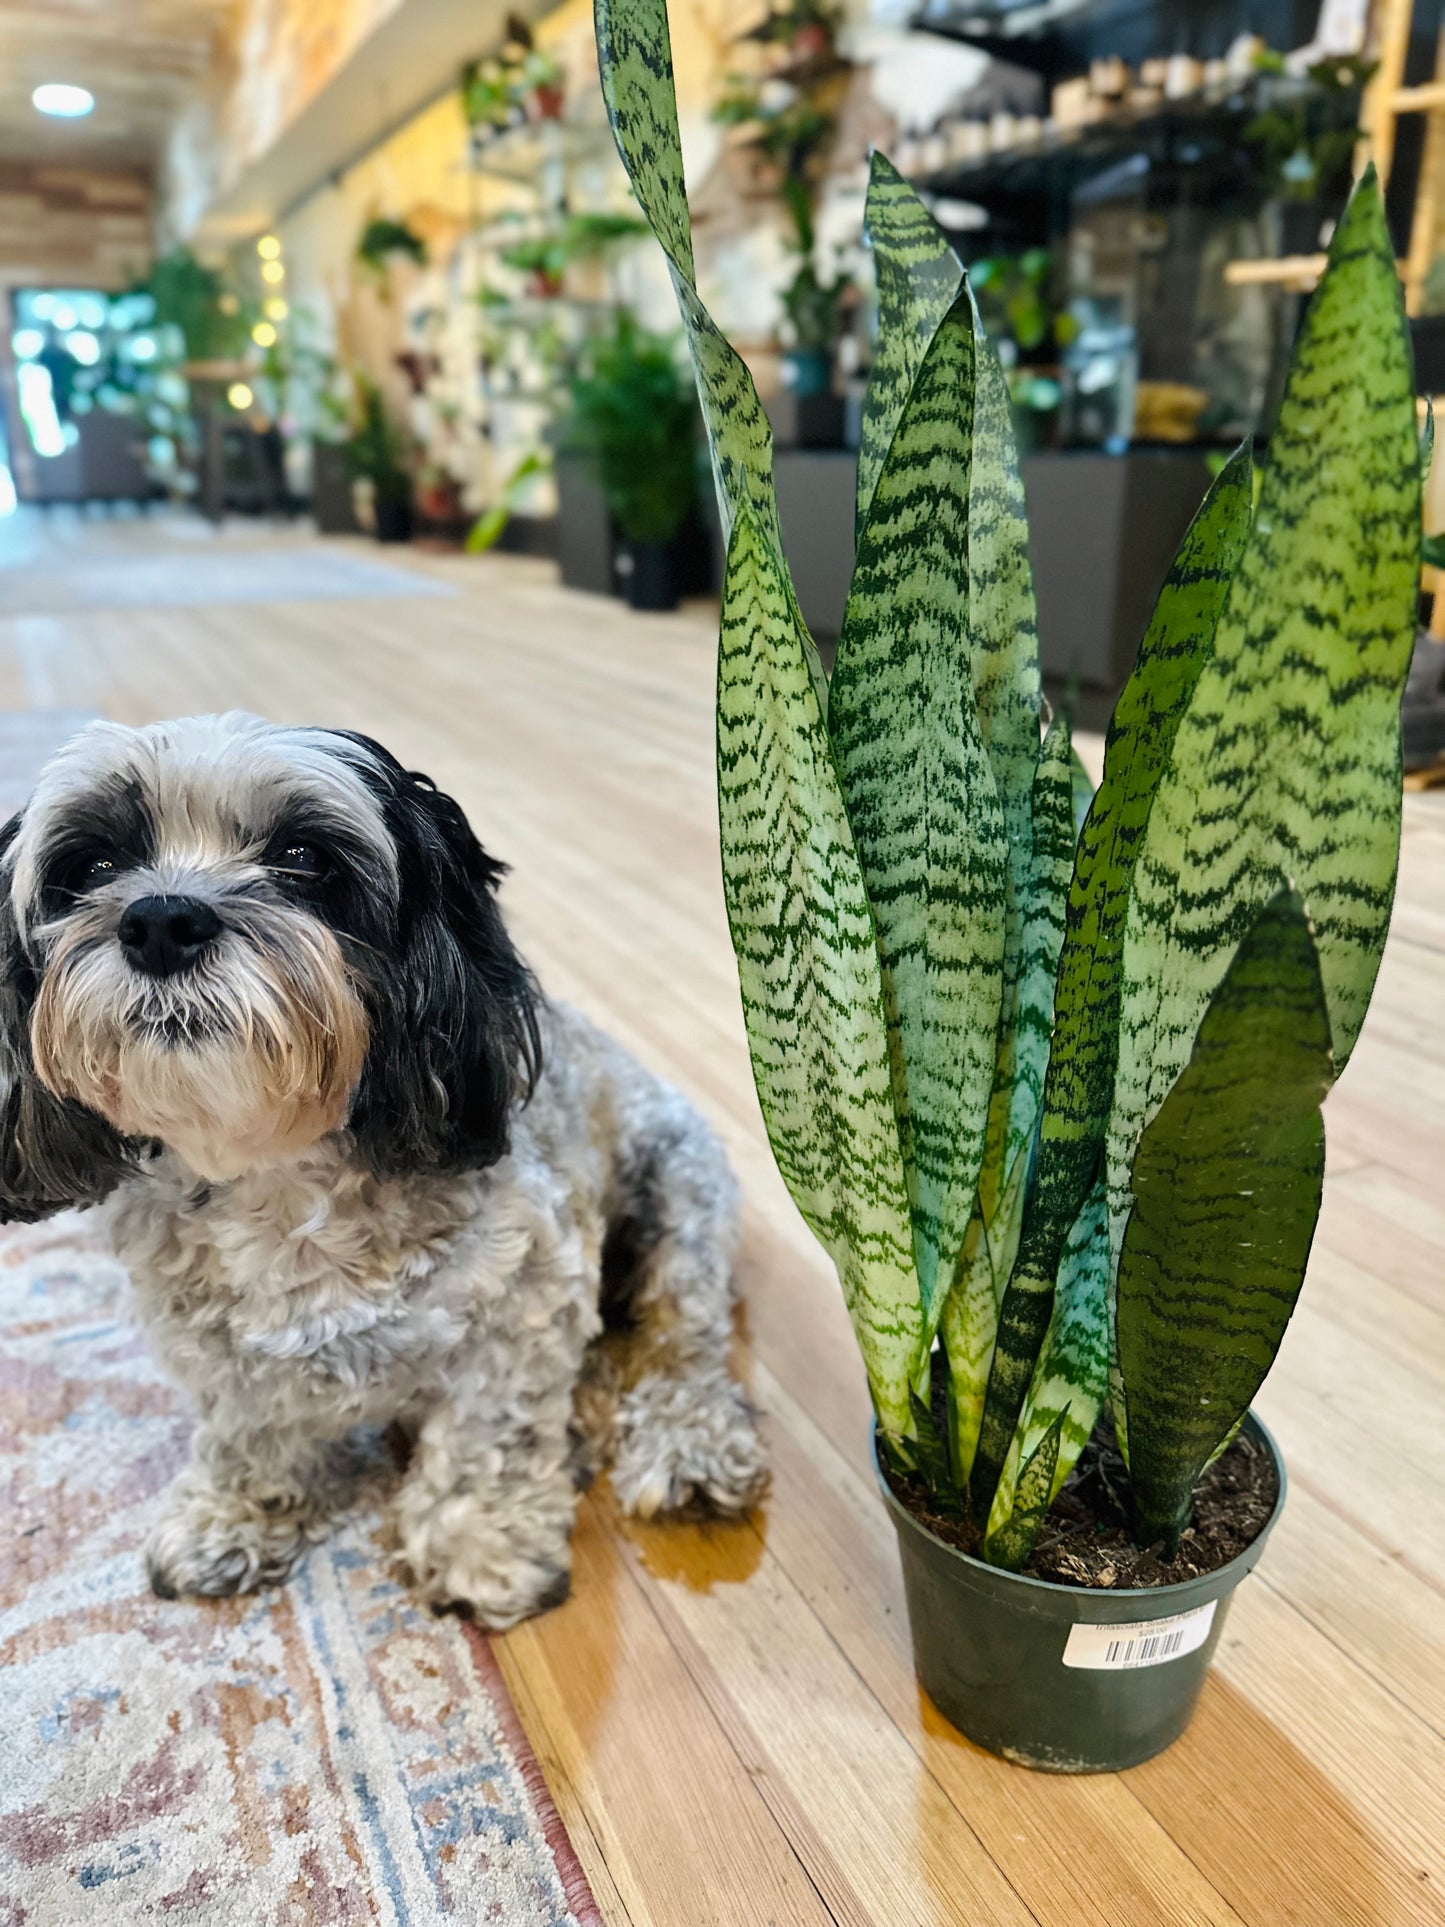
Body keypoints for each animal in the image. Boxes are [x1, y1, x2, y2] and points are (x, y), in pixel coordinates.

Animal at [0, 716, 770, 1618]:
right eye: (91, 866)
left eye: (302, 856)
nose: (160, 920)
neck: (276, 1175)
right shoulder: (211, 1347)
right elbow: (245, 1430)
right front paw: (234, 1514)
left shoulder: (524, 1305)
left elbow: (484, 1434)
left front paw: (481, 1542)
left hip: (679, 1199)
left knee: (684, 1340)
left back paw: (687, 1437)